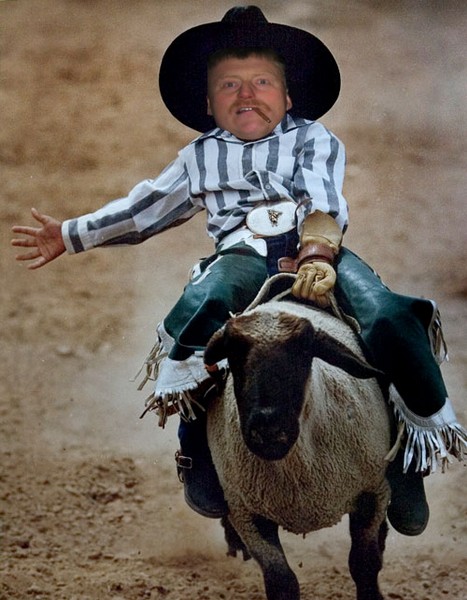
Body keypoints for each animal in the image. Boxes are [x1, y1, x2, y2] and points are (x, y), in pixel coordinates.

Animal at [204, 299, 392, 600]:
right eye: (232, 352)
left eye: (304, 349)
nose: (268, 426)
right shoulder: (246, 512)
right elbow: (281, 581)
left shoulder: (372, 491)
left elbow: (364, 564)